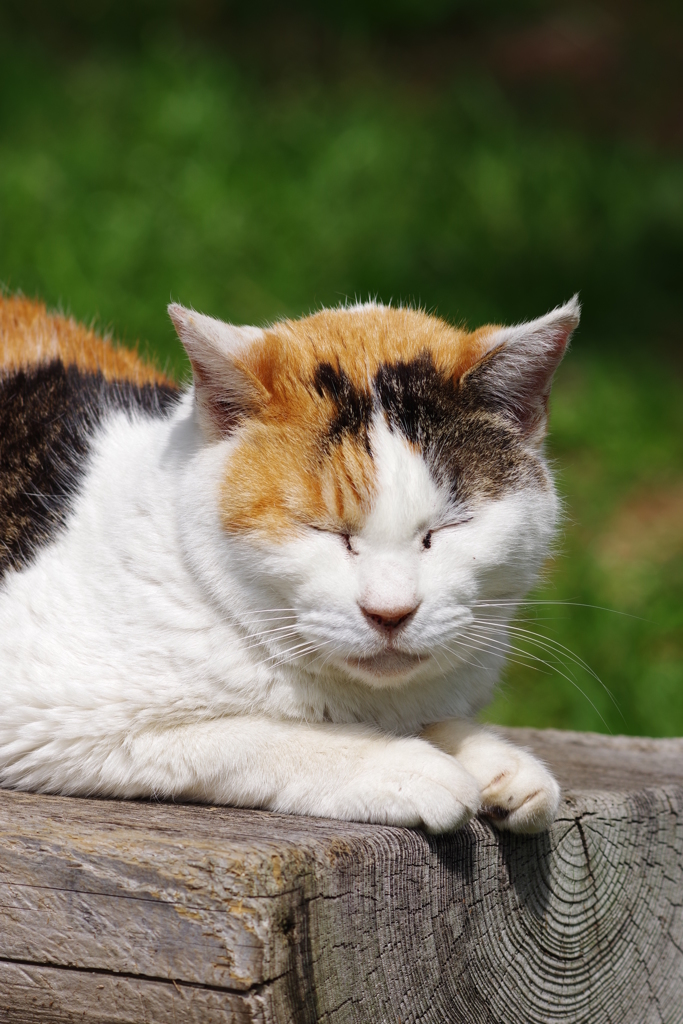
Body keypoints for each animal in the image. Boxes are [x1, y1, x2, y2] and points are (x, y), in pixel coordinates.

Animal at [0, 294, 581, 831]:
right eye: (323, 530)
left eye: (444, 530)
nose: (390, 612)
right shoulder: (40, 710)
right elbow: (248, 735)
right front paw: (404, 764)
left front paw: (491, 756)